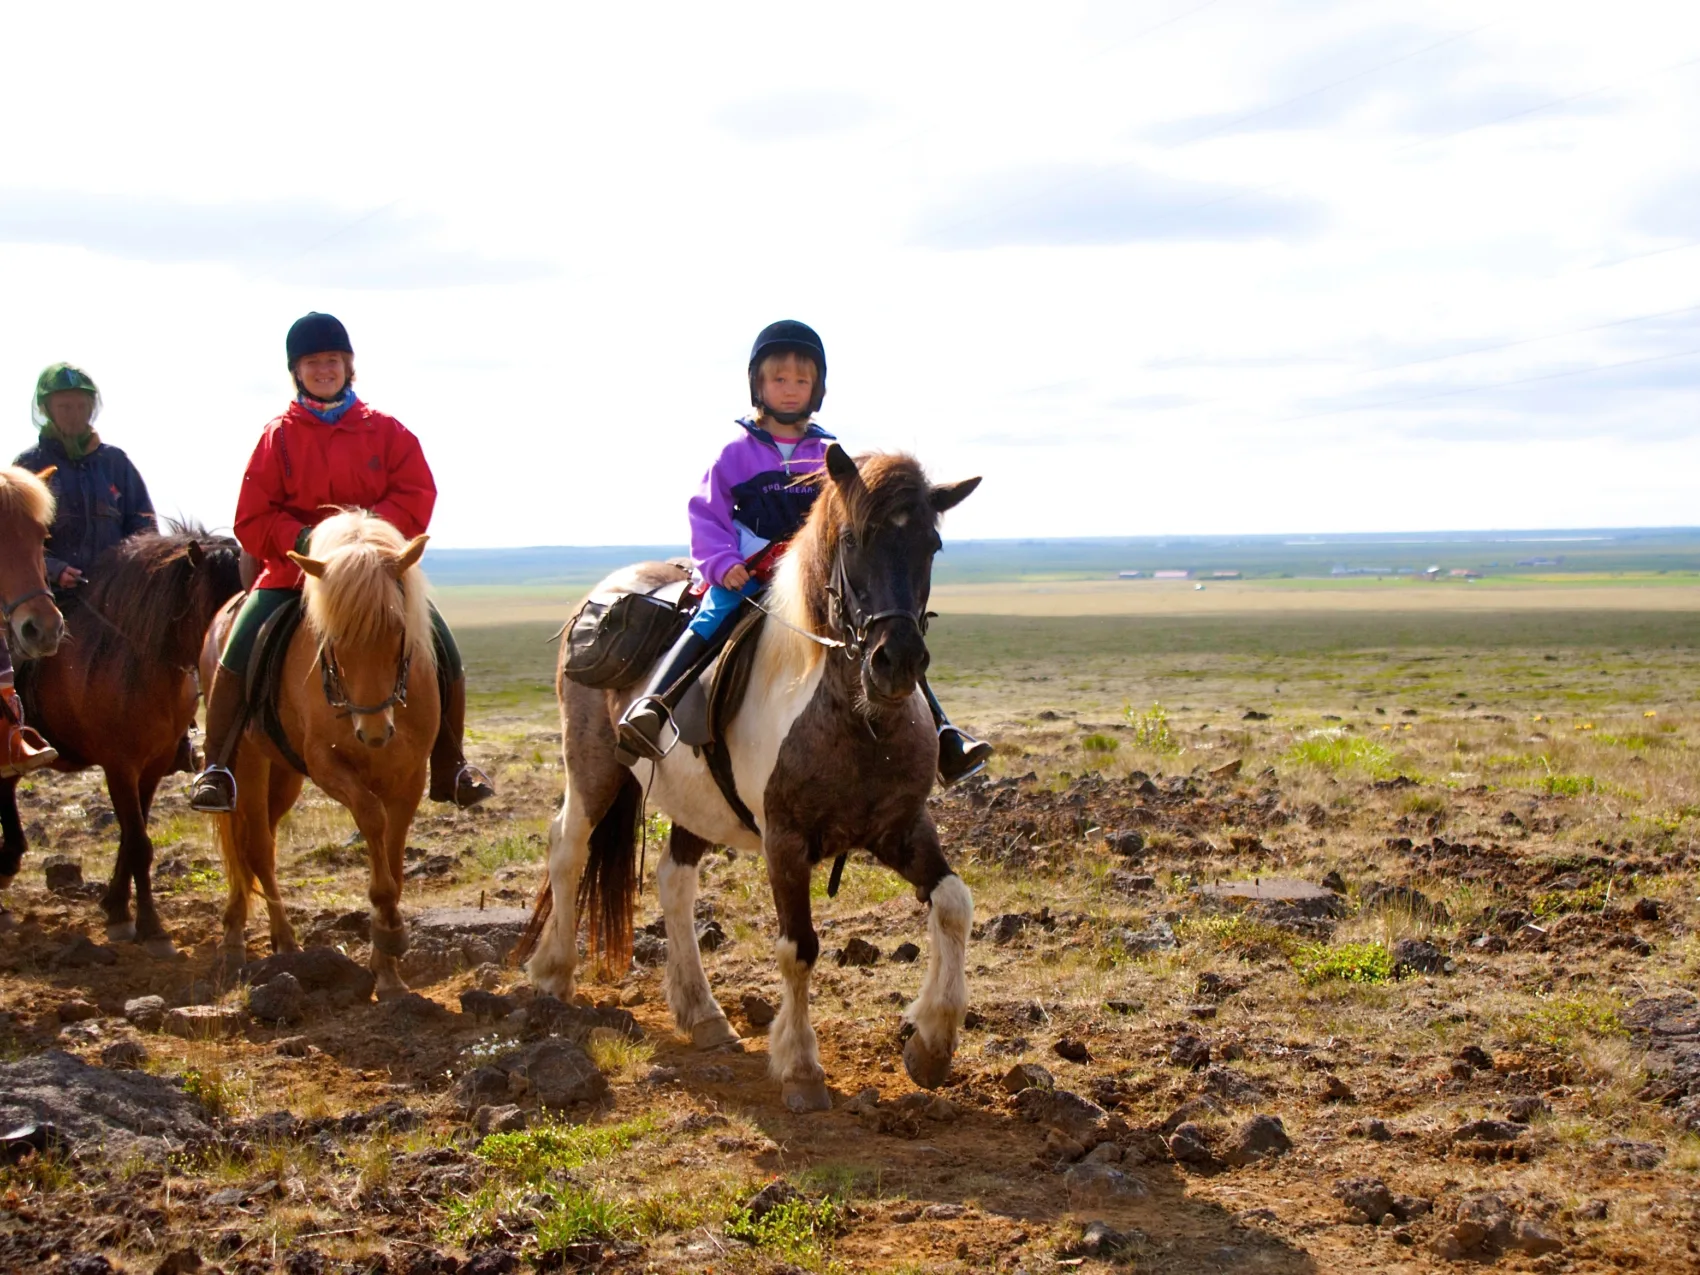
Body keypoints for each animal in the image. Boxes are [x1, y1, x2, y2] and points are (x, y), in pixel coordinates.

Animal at [0, 523, 246, 952]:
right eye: (216, 605)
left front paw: (117, 909)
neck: (136, 660)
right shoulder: (120, 767)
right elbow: (138, 844)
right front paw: (151, 927)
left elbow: (133, 840)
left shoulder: (151, 768)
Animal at [201, 513, 438, 999]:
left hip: (283, 777)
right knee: (256, 847)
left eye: (397, 629)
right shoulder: (328, 766)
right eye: (333, 638)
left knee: (257, 845)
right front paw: (388, 927)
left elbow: (394, 854)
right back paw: (258, 941)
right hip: (246, 762)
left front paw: (387, 969)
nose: (373, 732)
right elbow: (371, 819)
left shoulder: (410, 778)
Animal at [510, 448, 979, 1108]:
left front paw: (932, 1044)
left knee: (674, 882)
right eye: (854, 538)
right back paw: (553, 974)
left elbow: (954, 903)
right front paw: (802, 1068)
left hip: (694, 805)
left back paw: (702, 1014)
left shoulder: (902, 828)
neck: (854, 719)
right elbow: (798, 948)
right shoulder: (786, 841)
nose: (897, 661)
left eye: (931, 544)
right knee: (568, 848)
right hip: (594, 767)